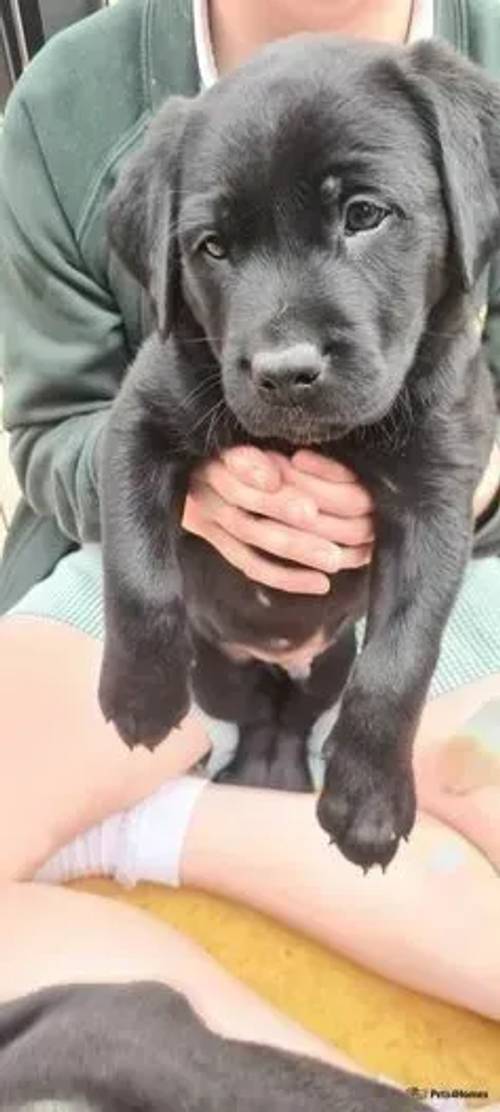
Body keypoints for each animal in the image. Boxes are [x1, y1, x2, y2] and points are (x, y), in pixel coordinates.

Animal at [96, 32, 495, 867]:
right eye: (211, 247)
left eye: (364, 214)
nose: (285, 371)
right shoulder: (138, 421)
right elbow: (138, 569)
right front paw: (140, 694)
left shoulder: (439, 498)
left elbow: (401, 660)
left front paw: (368, 802)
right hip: (220, 673)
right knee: (254, 716)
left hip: (326, 668)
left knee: (305, 707)